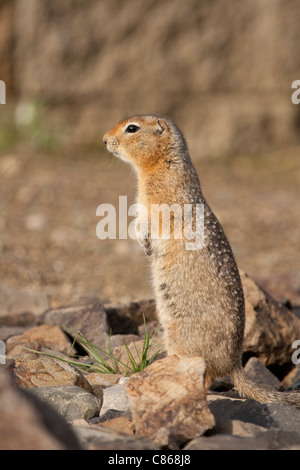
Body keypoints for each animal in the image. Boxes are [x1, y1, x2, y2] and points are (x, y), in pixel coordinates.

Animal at [103, 114, 300, 408]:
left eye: (132, 128)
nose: (104, 140)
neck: (161, 165)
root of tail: (234, 364)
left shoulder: (160, 203)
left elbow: (148, 222)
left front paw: (146, 241)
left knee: (203, 377)